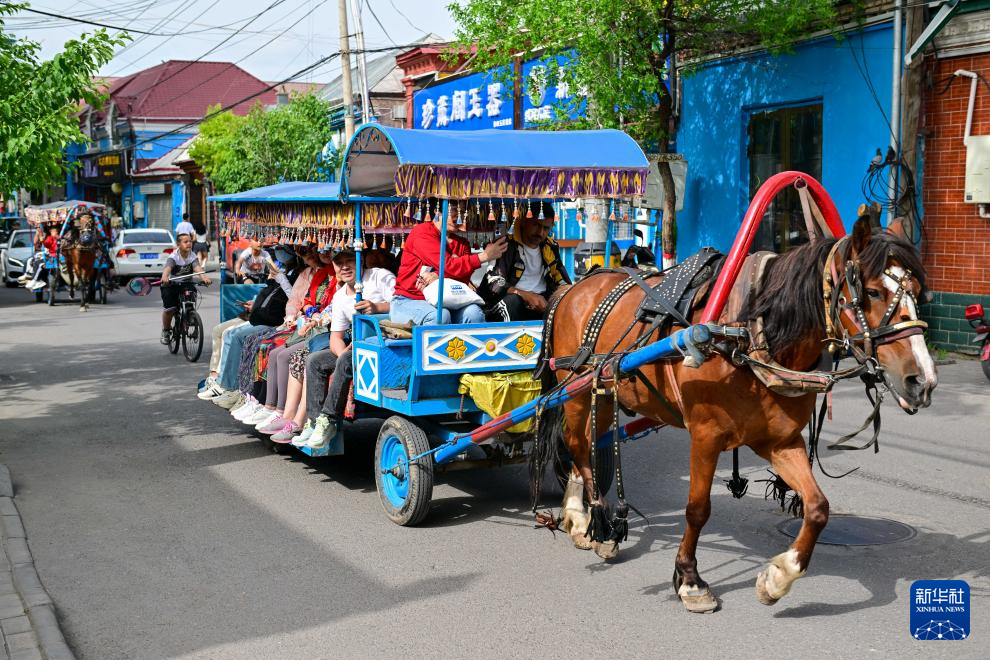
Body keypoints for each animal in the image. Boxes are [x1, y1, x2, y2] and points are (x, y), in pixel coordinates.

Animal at [536, 218, 936, 612]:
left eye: (918, 290)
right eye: (873, 292)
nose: (923, 381)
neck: (748, 337)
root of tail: (574, 287)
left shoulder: (780, 441)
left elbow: (818, 507)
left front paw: (779, 576)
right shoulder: (705, 436)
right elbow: (698, 509)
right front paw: (690, 580)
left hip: (602, 392)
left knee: (587, 444)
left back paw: (584, 518)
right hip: (577, 391)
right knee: (577, 444)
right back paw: (593, 521)